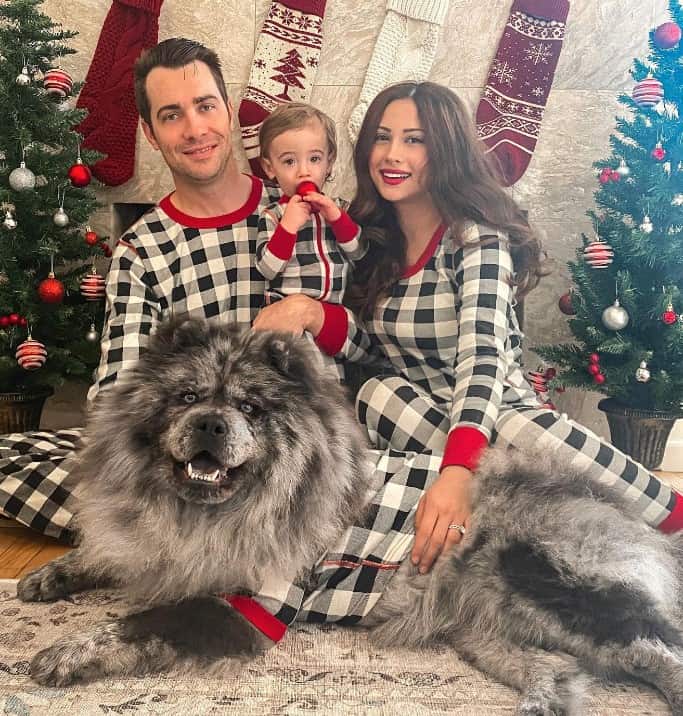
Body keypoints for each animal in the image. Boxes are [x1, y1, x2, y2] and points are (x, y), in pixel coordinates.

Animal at [17, 320, 683, 716]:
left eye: (251, 409)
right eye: (186, 397)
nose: (210, 424)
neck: (206, 513)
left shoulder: (250, 605)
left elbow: (136, 624)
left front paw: (64, 652)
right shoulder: (159, 550)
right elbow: (103, 559)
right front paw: (49, 578)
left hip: (544, 574)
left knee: (655, 647)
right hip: (482, 631)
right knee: (566, 664)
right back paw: (545, 699)